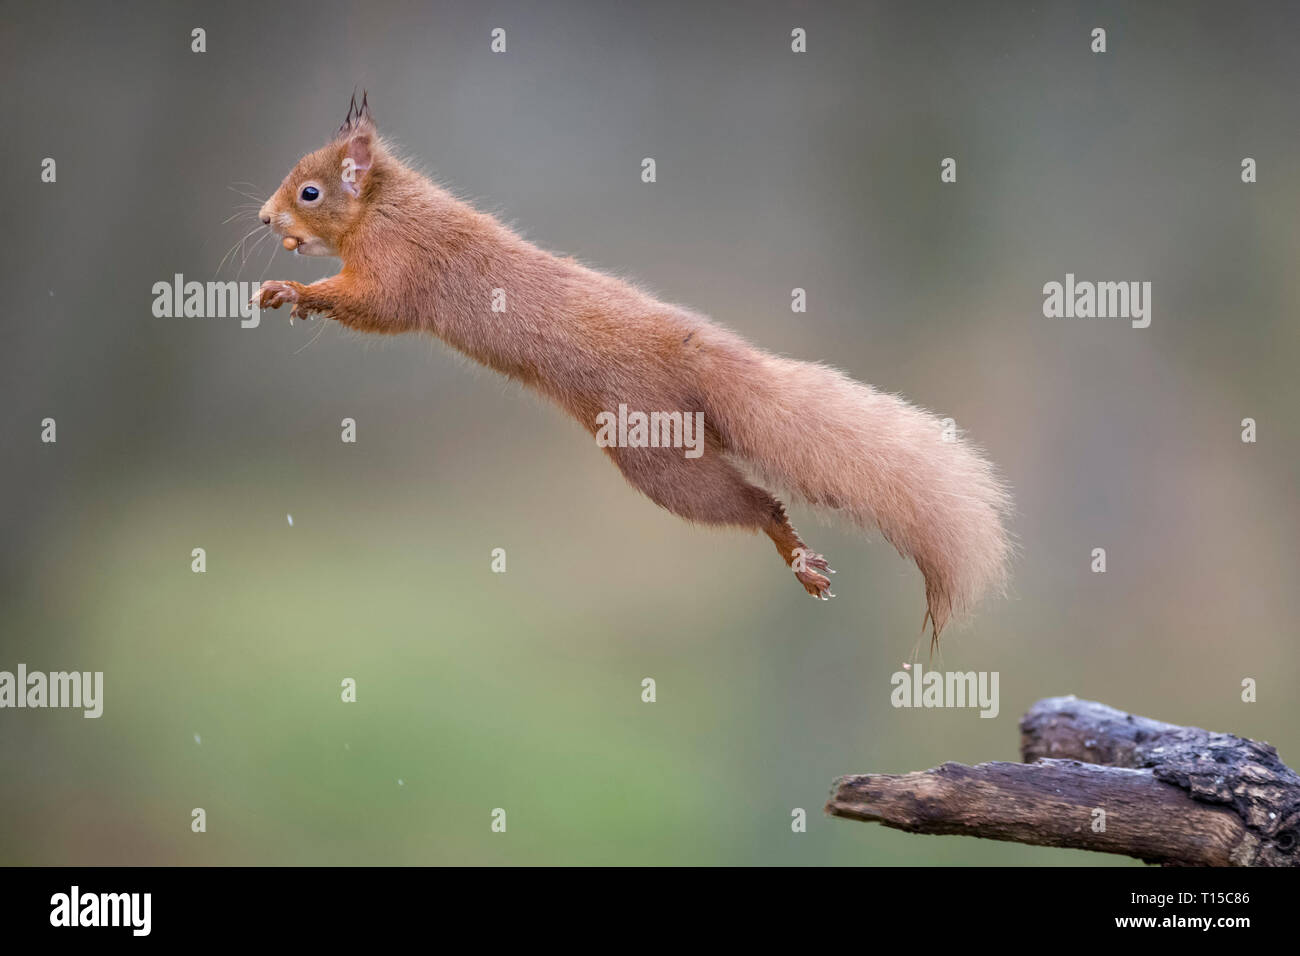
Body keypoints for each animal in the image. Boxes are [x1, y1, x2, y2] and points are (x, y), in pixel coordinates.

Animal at [254, 94, 1012, 646]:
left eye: (311, 193)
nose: (264, 219)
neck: (388, 205)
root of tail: (690, 348)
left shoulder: (399, 267)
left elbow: (372, 306)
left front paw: (291, 293)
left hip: (656, 454)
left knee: (756, 503)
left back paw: (800, 560)